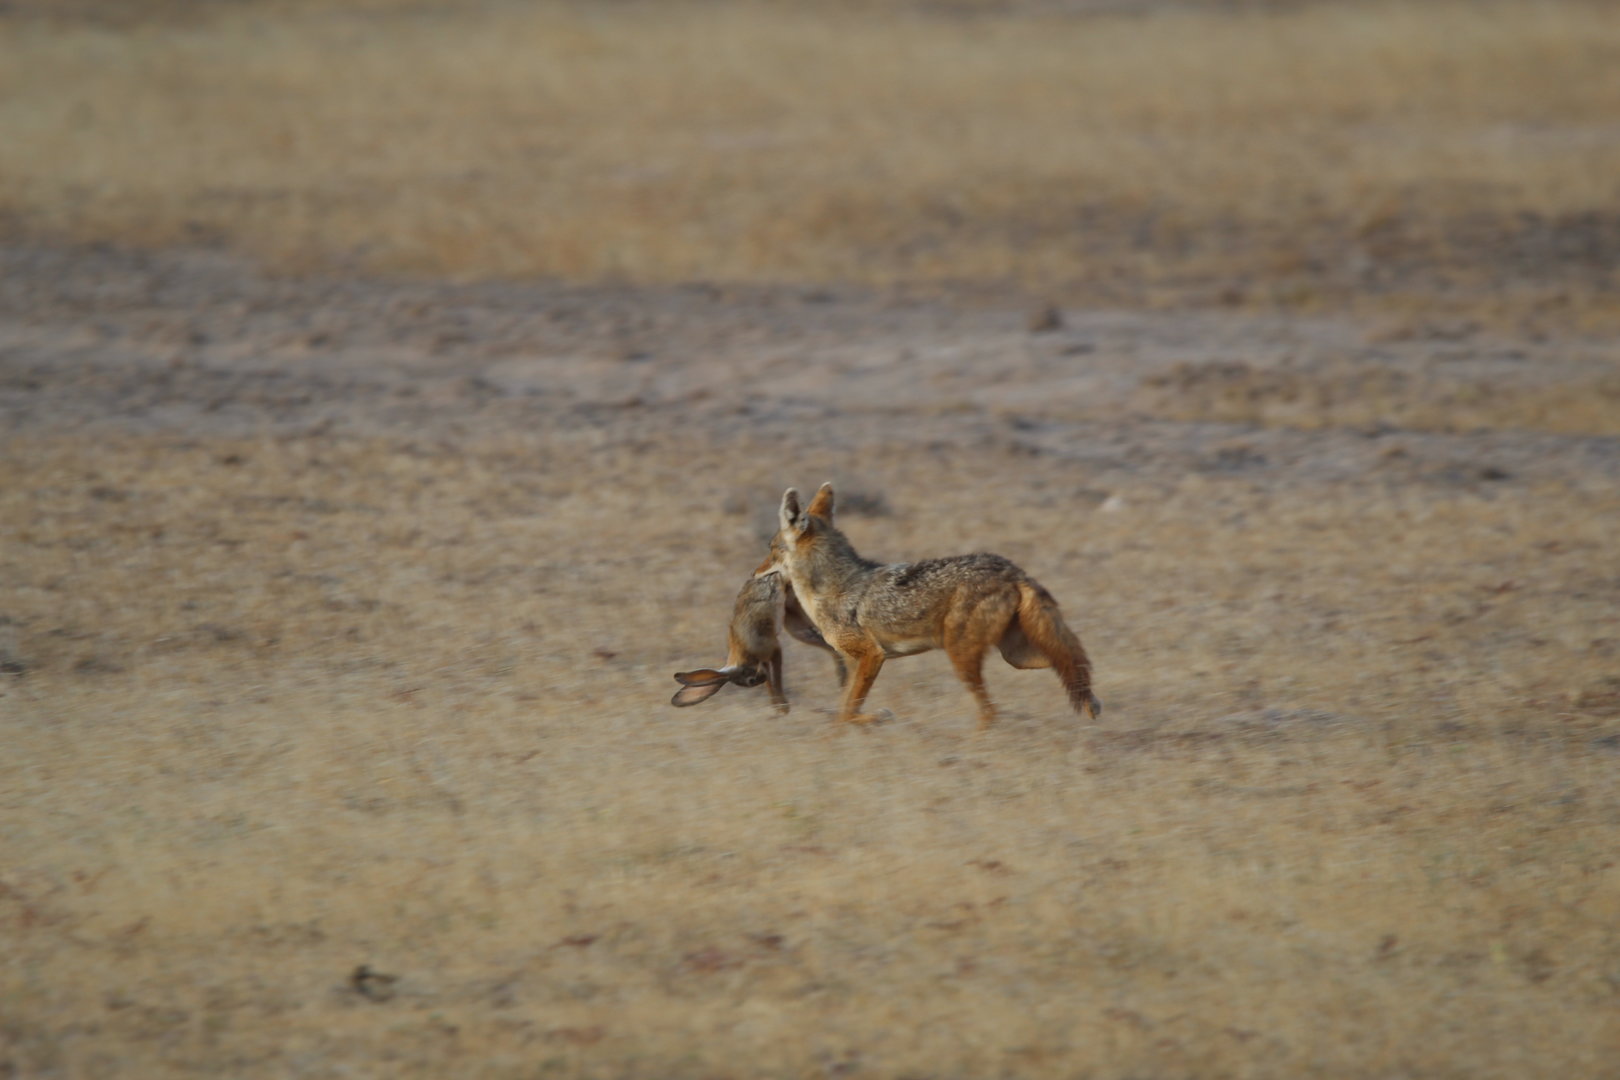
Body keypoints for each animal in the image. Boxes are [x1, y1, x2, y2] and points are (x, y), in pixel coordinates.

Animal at [760, 483, 1101, 728]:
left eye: (771, 549)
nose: (754, 573)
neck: (834, 587)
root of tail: (1012, 570)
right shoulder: (853, 661)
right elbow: (843, 709)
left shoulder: (872, 656)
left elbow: (847, 712)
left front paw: (876, 718)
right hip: (1016, 656)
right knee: (1069, 663)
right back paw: (1093, 703)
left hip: (963, 657)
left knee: (992, 710)